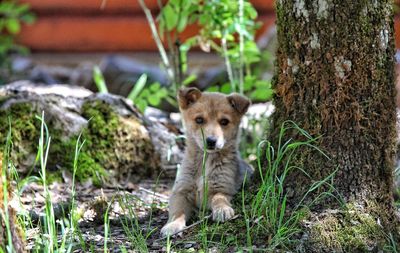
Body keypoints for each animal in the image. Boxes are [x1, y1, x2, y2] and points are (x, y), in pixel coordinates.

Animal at [160, 87, 252, 237]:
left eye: (224, 121)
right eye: (199, 119)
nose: (211, 141)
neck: (205, 161)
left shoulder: (220, 187)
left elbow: (219, 198)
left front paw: (222, 209)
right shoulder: (181, 191)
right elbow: (177, 212)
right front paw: (172, 225)